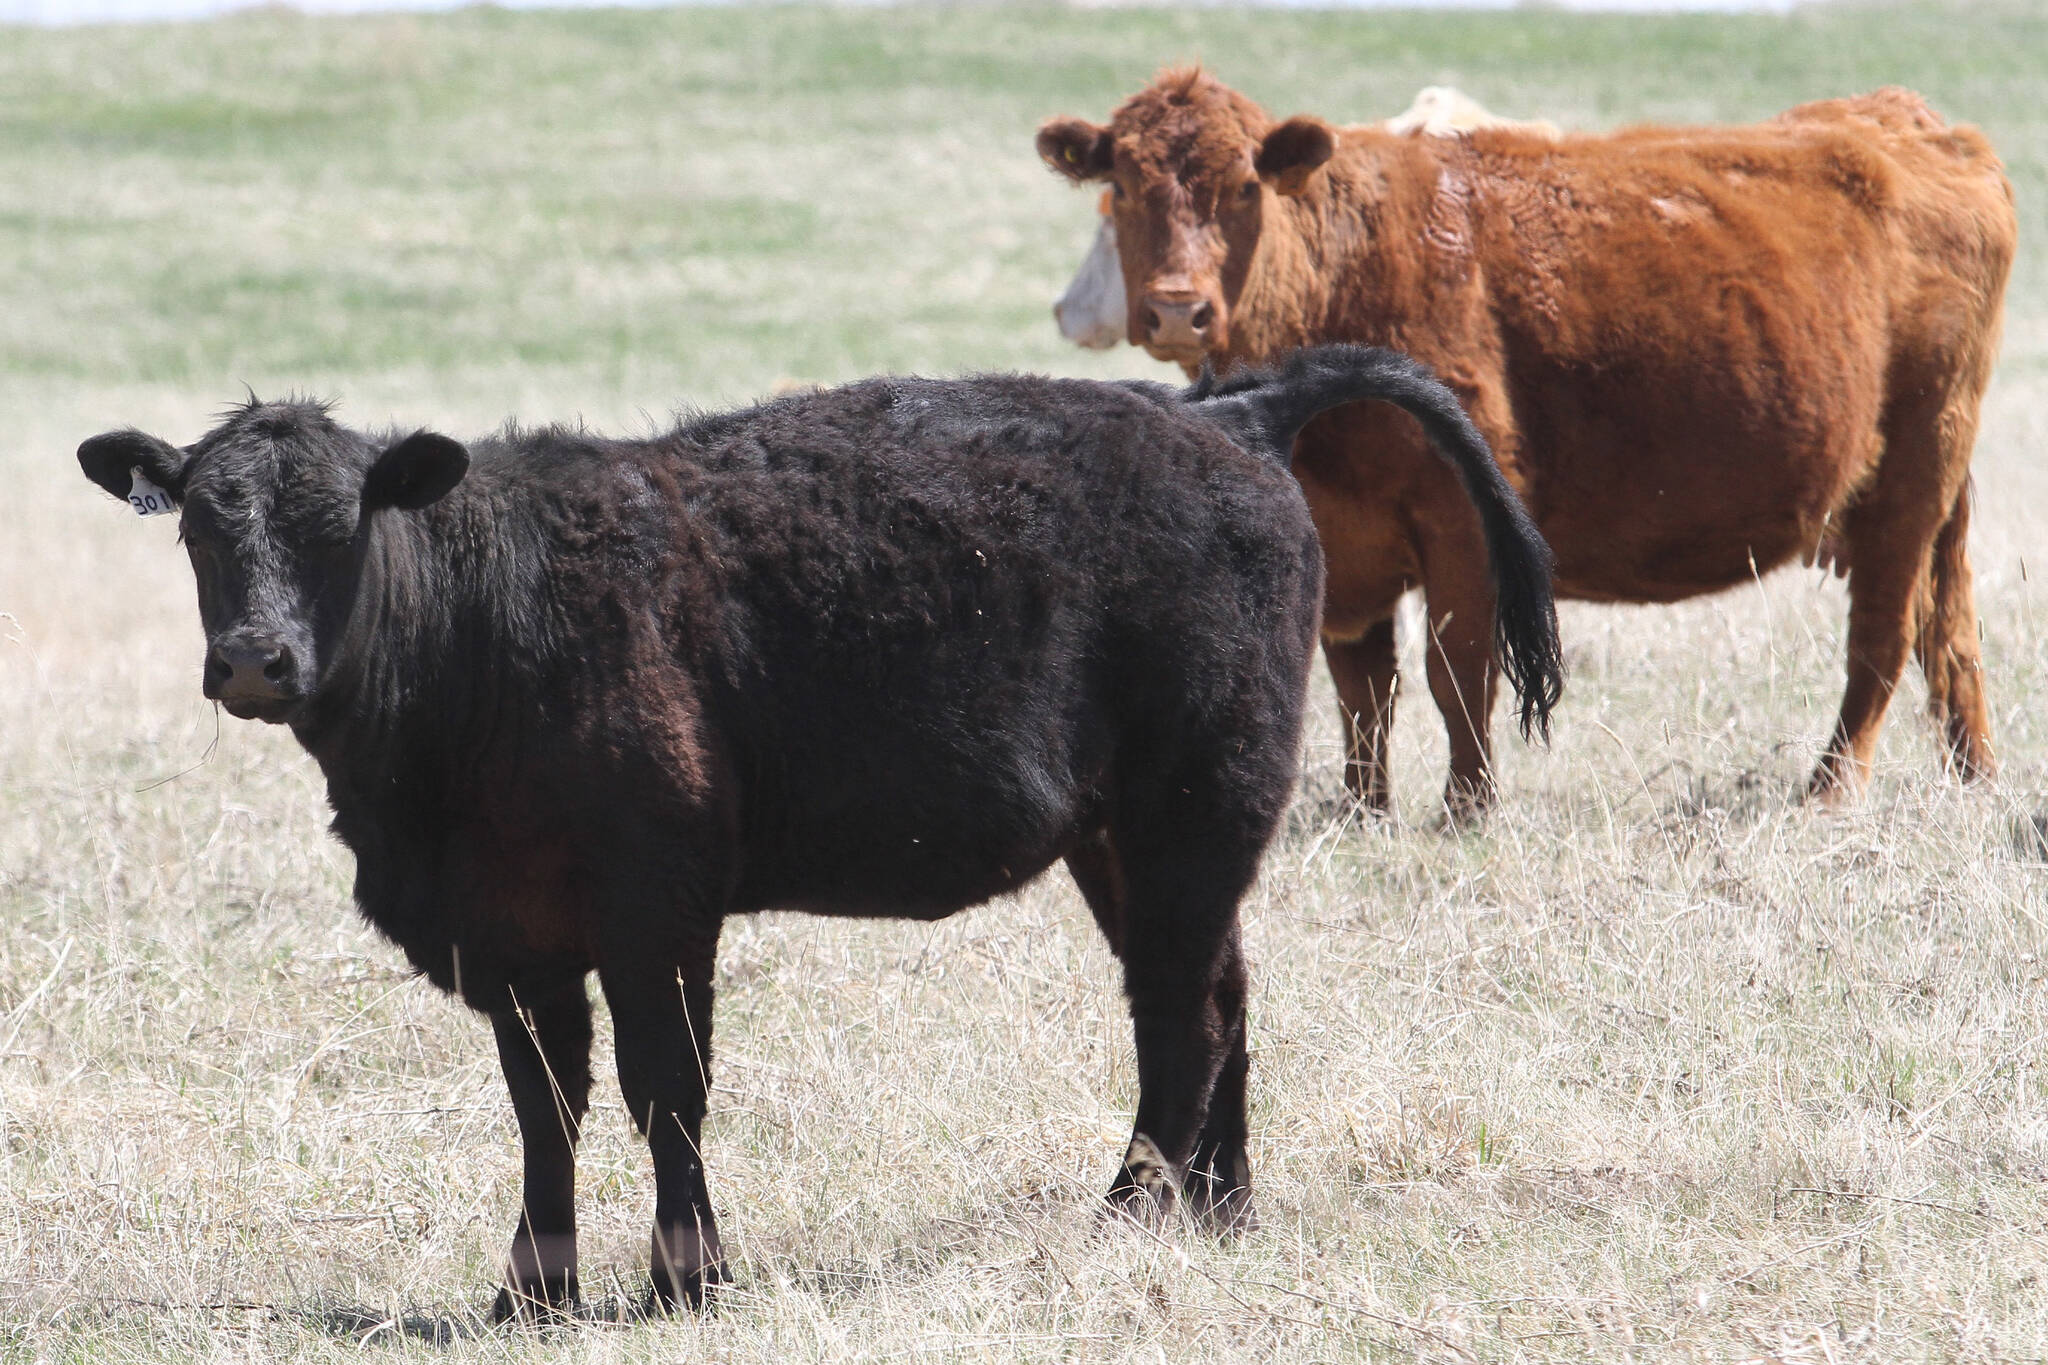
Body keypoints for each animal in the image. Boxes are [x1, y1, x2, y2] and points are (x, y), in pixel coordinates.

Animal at [75, 343, 1548, 1326]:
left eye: (340, 524)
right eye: (201, 526)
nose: (254, 659)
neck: (486, 634)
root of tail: (1221, 412)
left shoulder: (658, 910)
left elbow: (665, 1090)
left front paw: (687, 1279)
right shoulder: (512, 940)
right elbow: (545, 1106)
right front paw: (531, 1294)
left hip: (1193, 808)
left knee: (1180, 1012)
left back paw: (1128, 1213)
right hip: (1134, 840)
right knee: (1219, 991)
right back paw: (1220, 1210)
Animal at [1040, 74, 2015, 818]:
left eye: (1245, 186)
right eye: (1121, 187)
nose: (1177, 307)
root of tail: (1904, 119)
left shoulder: (1462, 514)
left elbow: (1458, 670)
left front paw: (1466, 808)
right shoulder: (1342, 541)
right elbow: (1362, 687)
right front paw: (1364, 808)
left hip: (1912, 476)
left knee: (1883, 638)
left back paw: (1830, 789)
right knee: (1951, 631)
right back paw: (1974, 779)